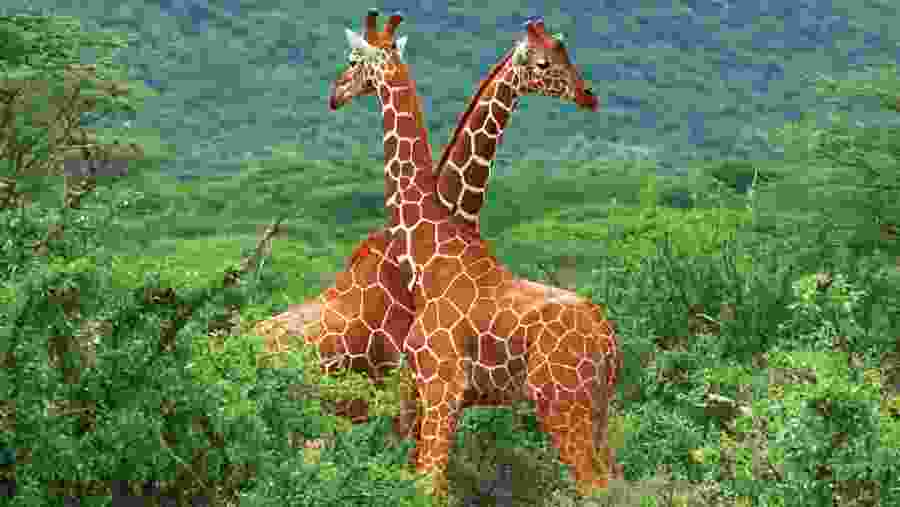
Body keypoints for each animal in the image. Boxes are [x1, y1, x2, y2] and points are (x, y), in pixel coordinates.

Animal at [327, 12, 622, 500]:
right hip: (601, 411)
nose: (335, 94)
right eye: (547, 60)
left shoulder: (439, 385)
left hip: (561, 403)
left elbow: (428, 484)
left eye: (352, 60)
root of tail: (609, 341)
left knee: (594, 485)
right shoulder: (428, 392)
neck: (428, 252)